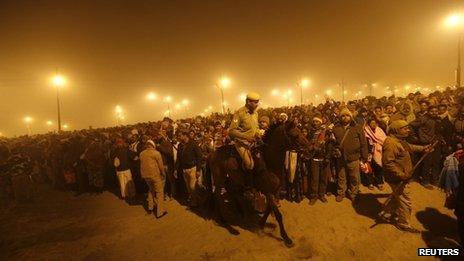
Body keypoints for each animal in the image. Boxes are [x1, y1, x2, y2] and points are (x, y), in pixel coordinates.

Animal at [208, 119, 310, 247]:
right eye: (295, 135)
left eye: (301, 132)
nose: (310, 148)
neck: (269, 162)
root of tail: (212, 153)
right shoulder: (268, 191)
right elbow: (278, 214)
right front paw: (286, 238)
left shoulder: (273, 191)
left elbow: (269, 209)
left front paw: (261, 224)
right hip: (219, 179)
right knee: (217, 195)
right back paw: (227, 224)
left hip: (232, 178)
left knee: (231, 190)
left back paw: (240, 211)